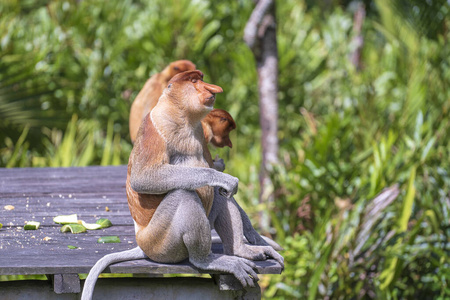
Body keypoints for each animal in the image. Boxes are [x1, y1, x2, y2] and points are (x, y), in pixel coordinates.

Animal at [81, 71, 284, 300]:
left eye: (201, 79)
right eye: (194, 81)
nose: (212, 89)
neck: (183, 118)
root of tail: (142, 244)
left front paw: (258, 239)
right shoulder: (155, 127)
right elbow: (143, 177)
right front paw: (225, 177)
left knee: (219, 194)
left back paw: (241, 250)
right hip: (159, 243)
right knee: (184, 194)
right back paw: (206, 260)